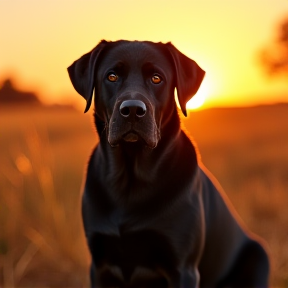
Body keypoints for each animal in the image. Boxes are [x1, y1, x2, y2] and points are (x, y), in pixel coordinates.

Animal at [67, 40, 268, 288]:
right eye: (112, 76)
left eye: (156, 78)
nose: (132, 110)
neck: (130, 181)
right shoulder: (100, 266)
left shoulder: (183, 268)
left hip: (258, 256)